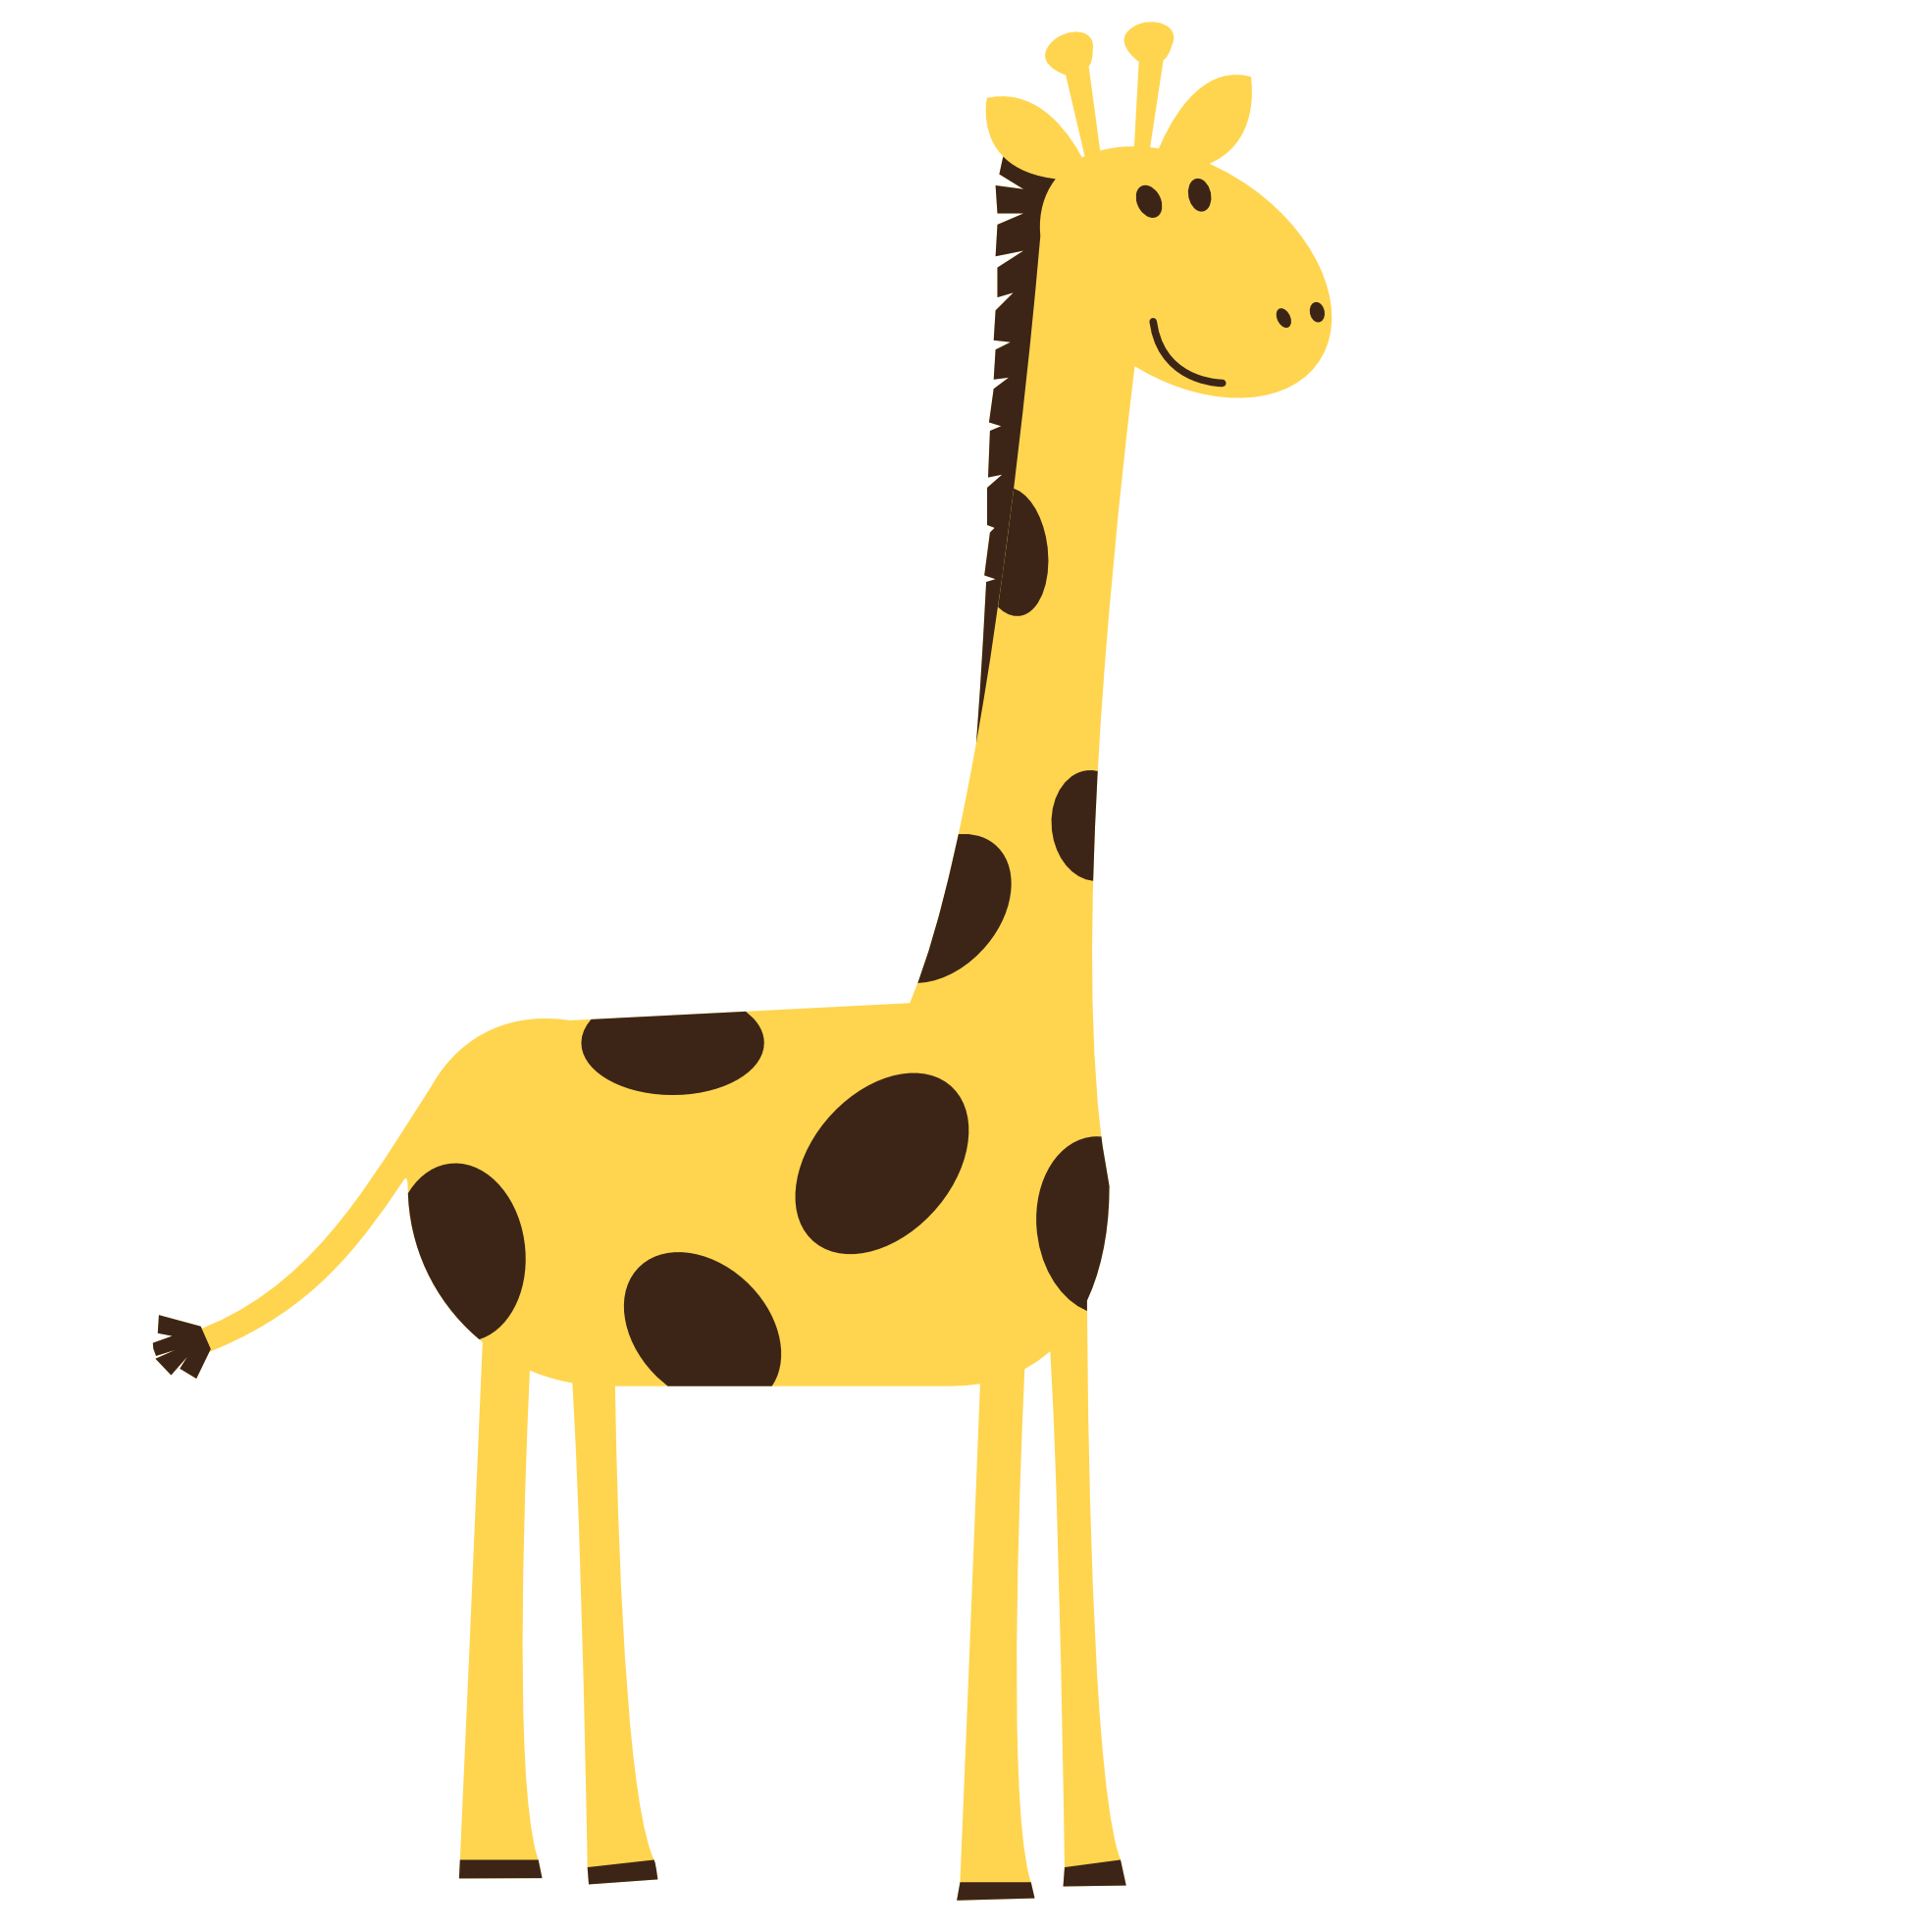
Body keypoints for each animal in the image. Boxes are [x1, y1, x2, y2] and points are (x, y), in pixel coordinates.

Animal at [152, 23, 1331, 1899]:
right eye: (1167, 196)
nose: (1306, 316)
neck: (989, 999)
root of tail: (426, 1104)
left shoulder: (1058, 1335)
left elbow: (1064, 1537)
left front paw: (1090, 1854)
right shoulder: (984, 1335)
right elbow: (996, 1548)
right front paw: (987, 1863)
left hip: (571, 1322)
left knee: (554, 1461)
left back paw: (574, 1843)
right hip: (535, 1310)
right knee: (521, 1478)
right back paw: (539, 1847)